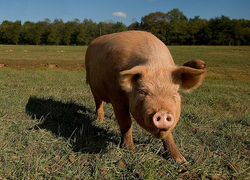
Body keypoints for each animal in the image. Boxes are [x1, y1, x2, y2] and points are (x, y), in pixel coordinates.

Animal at [85, 31, 206, 163]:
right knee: (98, 101)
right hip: (92, 84)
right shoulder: (116, 98)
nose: (162, 113)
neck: (155, 63)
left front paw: (181, 160)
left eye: (175, 92)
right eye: (143, 91)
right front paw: (131, 150)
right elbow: (126, 123)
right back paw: (99, 120)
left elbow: (168, 135)